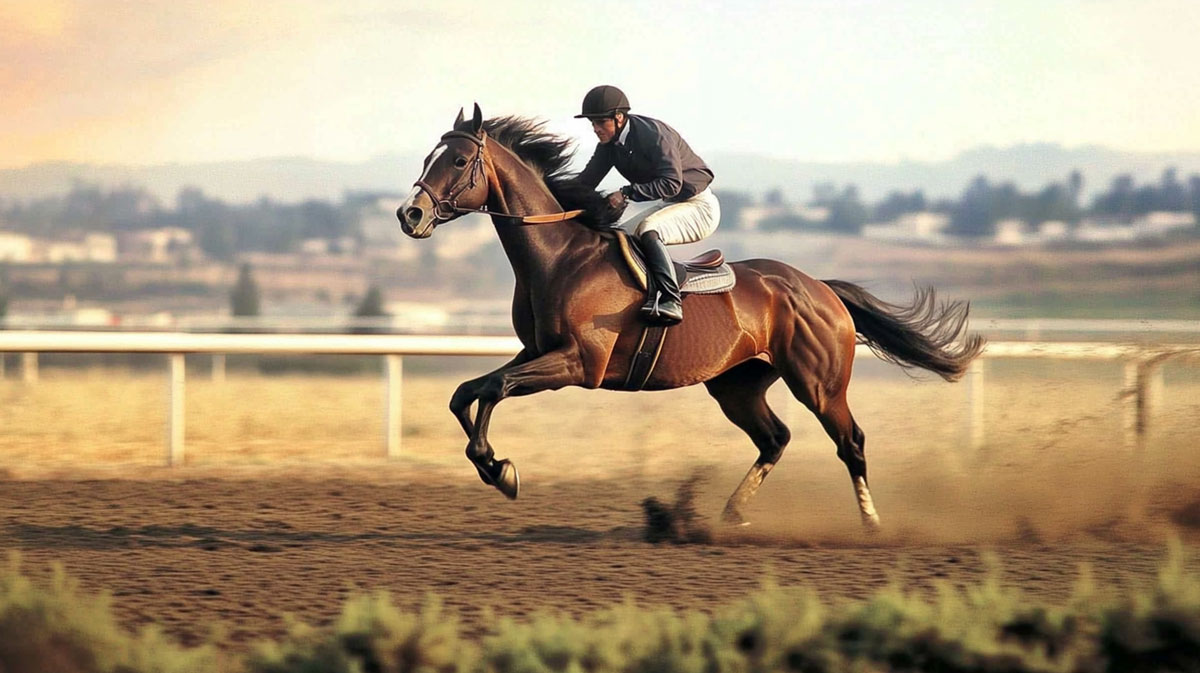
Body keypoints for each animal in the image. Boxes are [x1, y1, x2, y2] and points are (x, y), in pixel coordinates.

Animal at [396, 103, 984, 530]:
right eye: (428, 158)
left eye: (456, 162)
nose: (410, 214)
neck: (560, 256)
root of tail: (822, 289)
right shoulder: (537, 352)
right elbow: (467, 393)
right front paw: (494, 467)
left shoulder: (577, 365)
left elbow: (493, 390)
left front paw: (501, 469)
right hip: (736, 384)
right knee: (775, 438)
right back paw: (730, 514)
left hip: (819, 384)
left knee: (851, 443)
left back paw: (870, 523)